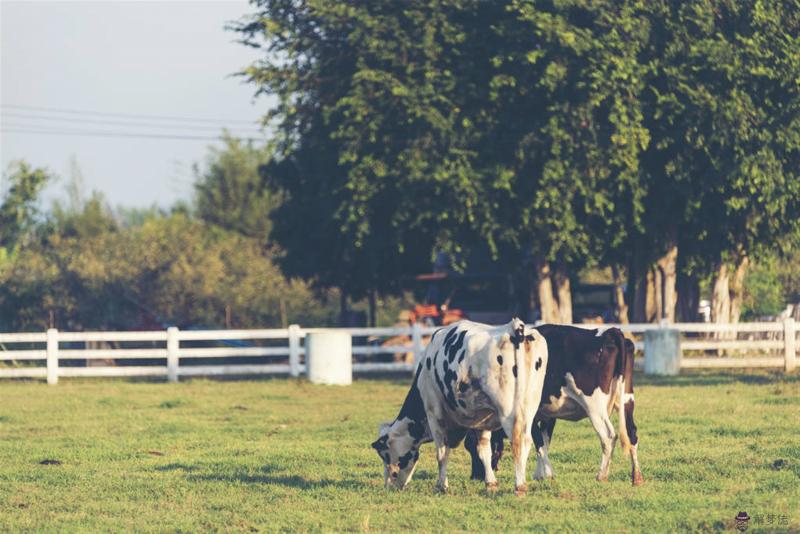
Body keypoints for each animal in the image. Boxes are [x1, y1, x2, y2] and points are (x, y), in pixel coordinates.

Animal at [370, 318, 548, 498]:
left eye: (385, 455)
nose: (389, 485)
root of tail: (515, 328)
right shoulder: (481, 417)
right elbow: (483, 449)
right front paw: (490, 483)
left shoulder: (434, 413)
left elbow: (442, 452)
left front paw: (441, 486)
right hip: (529, 407)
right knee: (527, 440)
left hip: (508, 411)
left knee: (517, 441)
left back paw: (519, 486)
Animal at [462, 324, 644, 488]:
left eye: (470, 446)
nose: (474, 477)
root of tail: (608, 332)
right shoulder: (547, 415)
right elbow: (545, 441)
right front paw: (540, 474)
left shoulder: (530, 416)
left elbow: (538, 443)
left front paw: (547, 474)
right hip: (627, 399)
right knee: (632, 433)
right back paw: (636, 477)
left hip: (595, 406)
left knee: (608, 436)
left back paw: (602, 475)